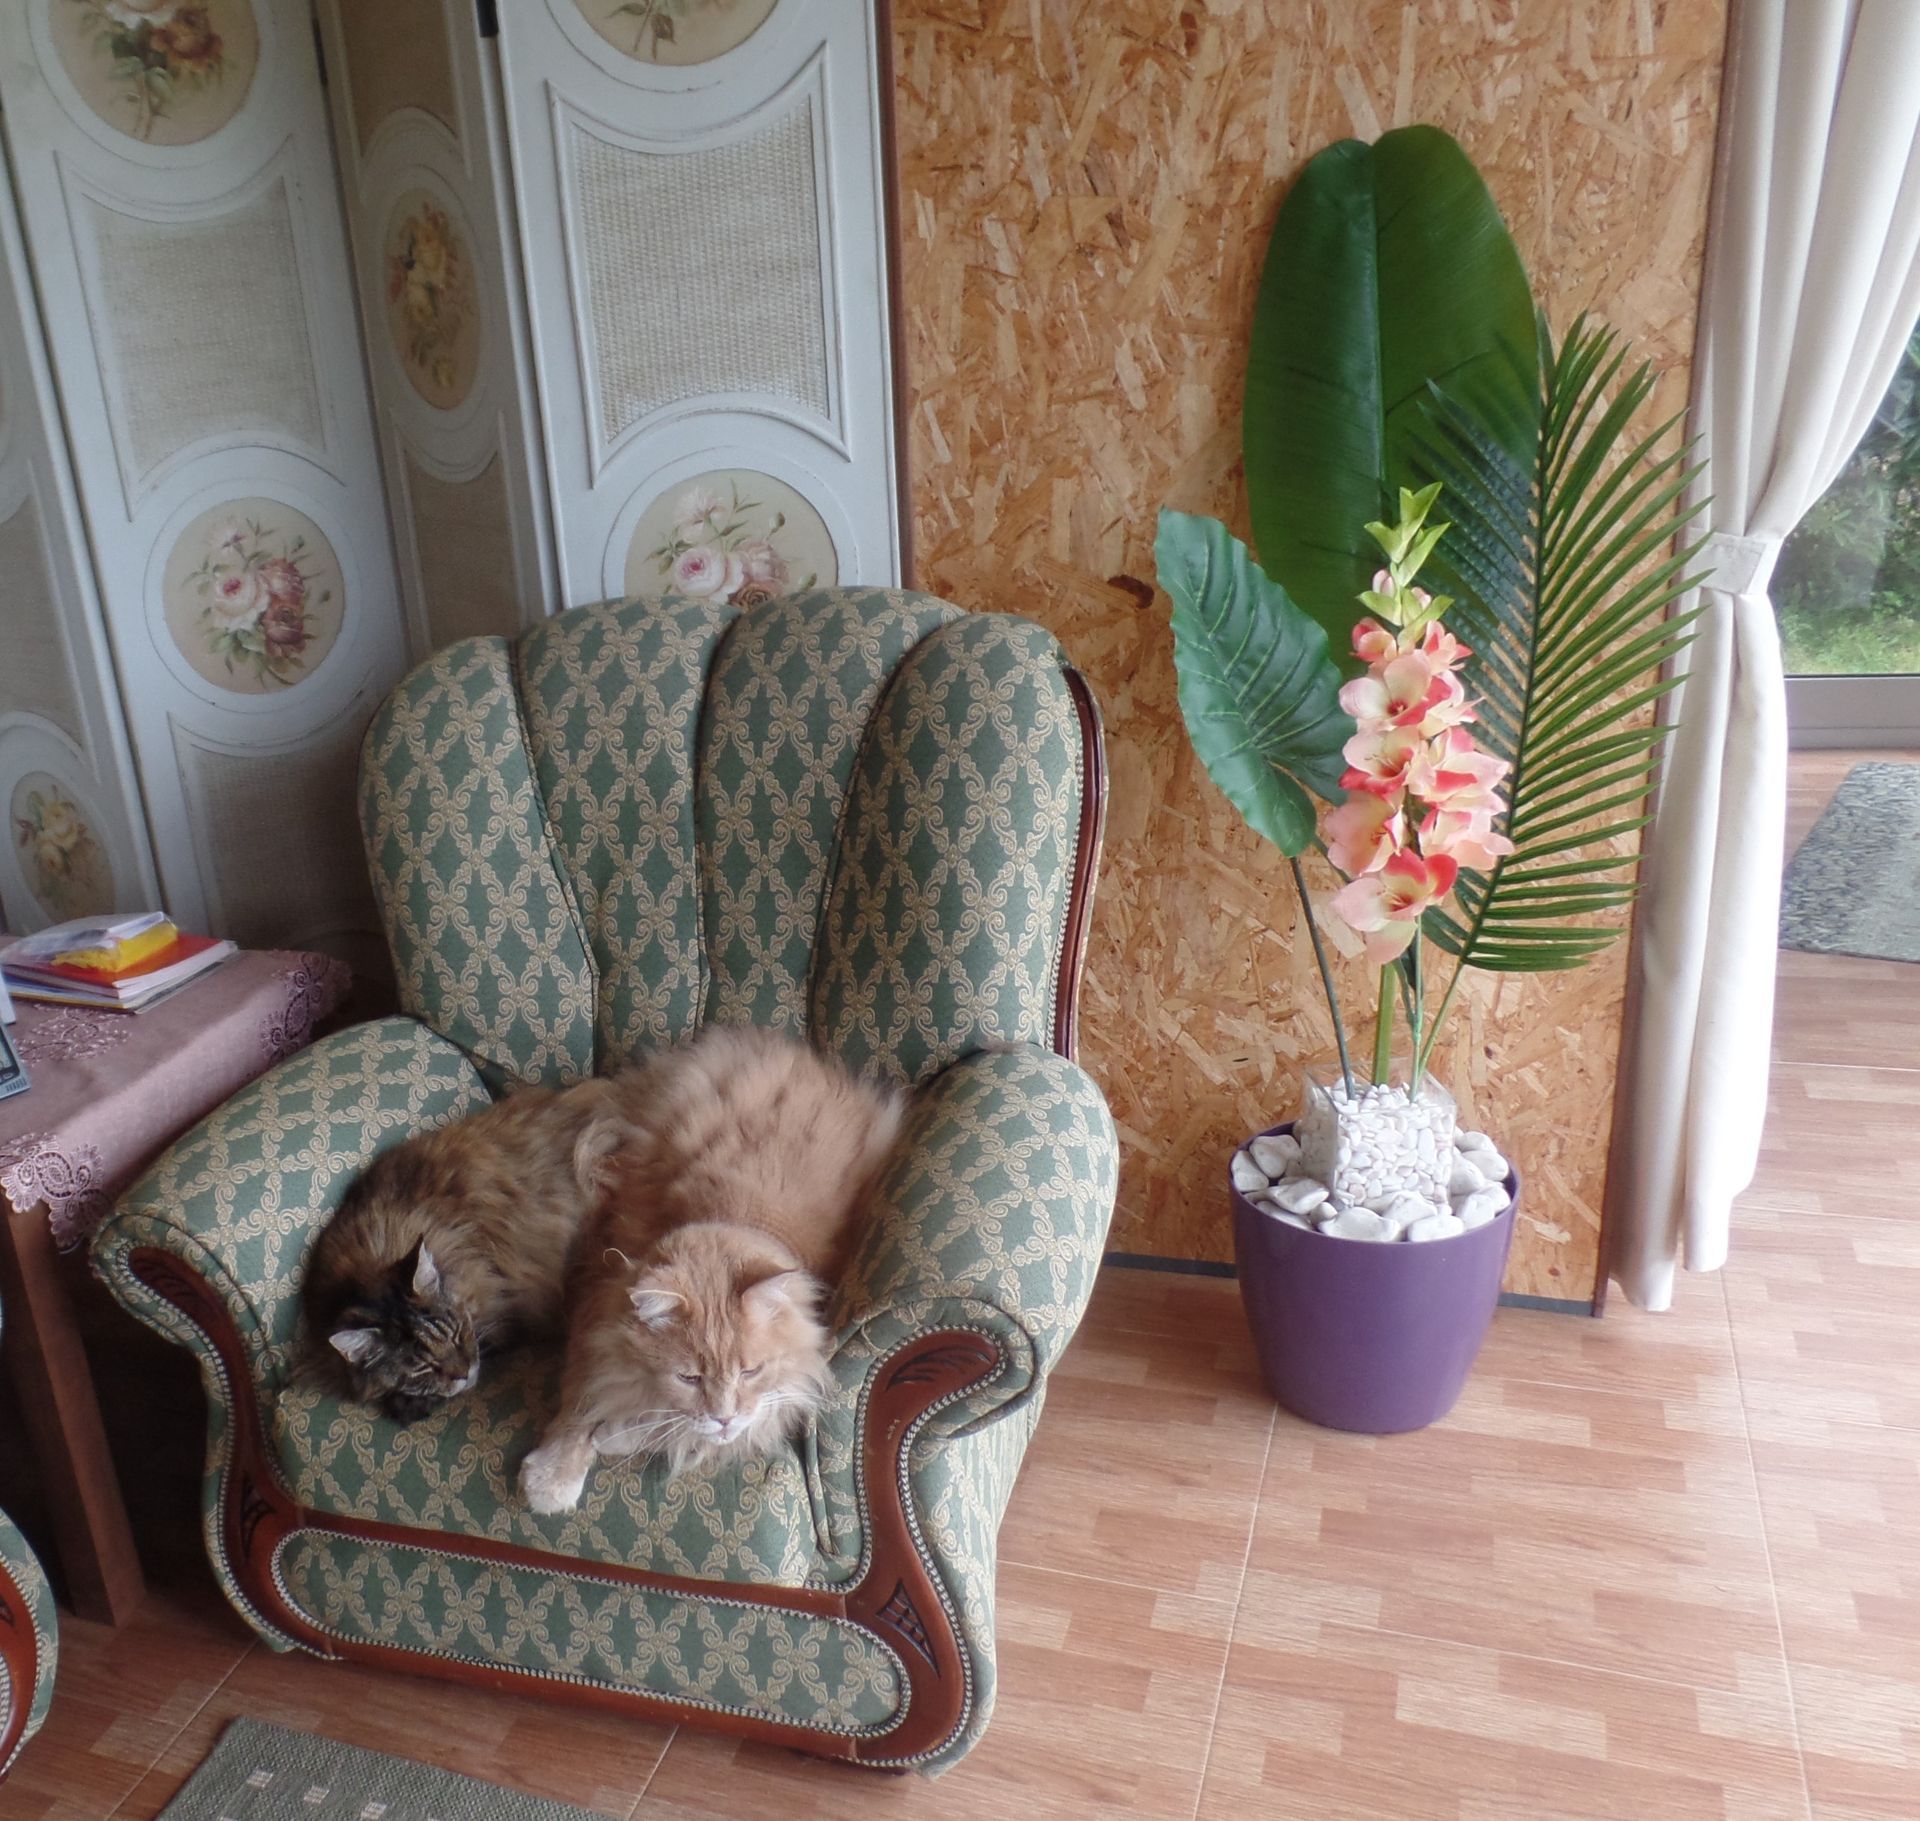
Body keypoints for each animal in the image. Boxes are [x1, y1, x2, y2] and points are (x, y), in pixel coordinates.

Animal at [517, 1025, 904, 1513]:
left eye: (751, 1371)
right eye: (690, 1377)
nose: (724, 1416)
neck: (734, 1211)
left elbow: (682, 1428)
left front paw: (618, 1434)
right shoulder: (598, 1304)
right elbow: (584, 1397)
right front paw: (554, 1472)